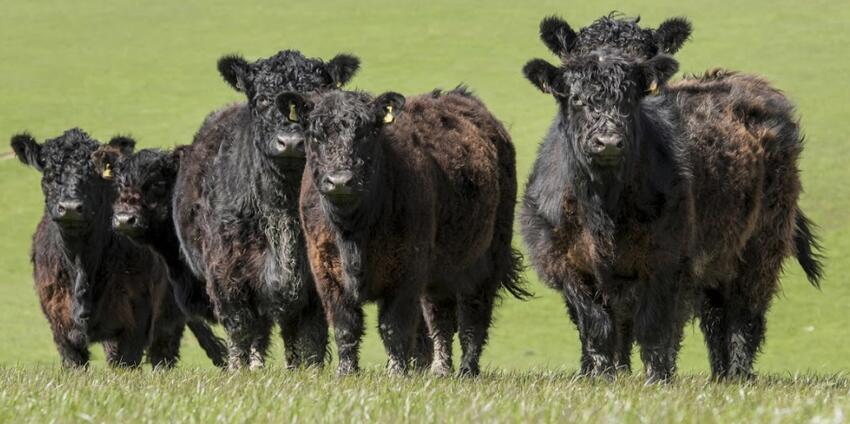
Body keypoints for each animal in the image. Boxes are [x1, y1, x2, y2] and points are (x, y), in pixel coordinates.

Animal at [11, 129, 186, 368]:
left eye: (94, 175)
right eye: (49, 173)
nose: (70, 208)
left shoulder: (135, 321)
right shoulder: (61, 328)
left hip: (168, 315)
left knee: (163, 354)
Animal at [172, 50, 360, 370]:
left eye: (316, 98)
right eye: (261, 100)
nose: (292, 142)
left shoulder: (313, 279)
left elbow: (311, 337)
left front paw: (311, 372)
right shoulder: (228, 275)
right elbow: (239, 330)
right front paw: (239, 371)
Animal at [276, 87, 529, 376]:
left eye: (368, 132)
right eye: (314, 133)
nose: (340, 181)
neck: (353, 230)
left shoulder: (408, 268)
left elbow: (393, 326)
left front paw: (396, 372)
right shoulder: (324, 267)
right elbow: (344, 324)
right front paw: (346, 372)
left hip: (487, 257)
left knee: (473, 315)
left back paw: (467, 369)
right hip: (439, 271)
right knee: (440, 317)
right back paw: (440, 369)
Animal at [521, 45, 822, 381]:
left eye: (631, 98)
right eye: (575, 99)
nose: (608, 142)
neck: (604, 209)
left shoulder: (667, 262)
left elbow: (655, 328)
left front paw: (657, 379)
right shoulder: (567, 263)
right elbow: (598, 328)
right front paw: (603, 377)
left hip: (762, 244)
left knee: (745, 314)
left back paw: (737, 374)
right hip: (718, 257)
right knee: (715, 317)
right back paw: (720, 376)